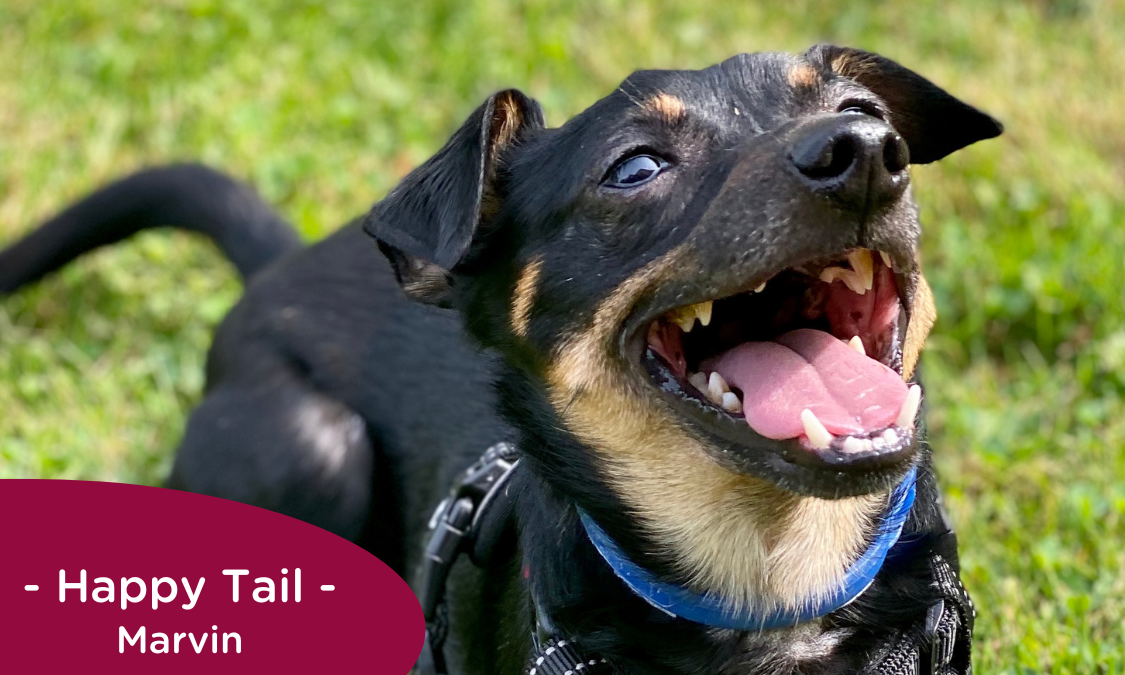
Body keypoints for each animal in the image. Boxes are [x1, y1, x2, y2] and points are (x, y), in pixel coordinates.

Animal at [0, 44, 1003, 670]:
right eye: (635, 168)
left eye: (862, 110)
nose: (867, 151)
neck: (775, 591)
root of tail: (278, 267)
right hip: (314, 446)